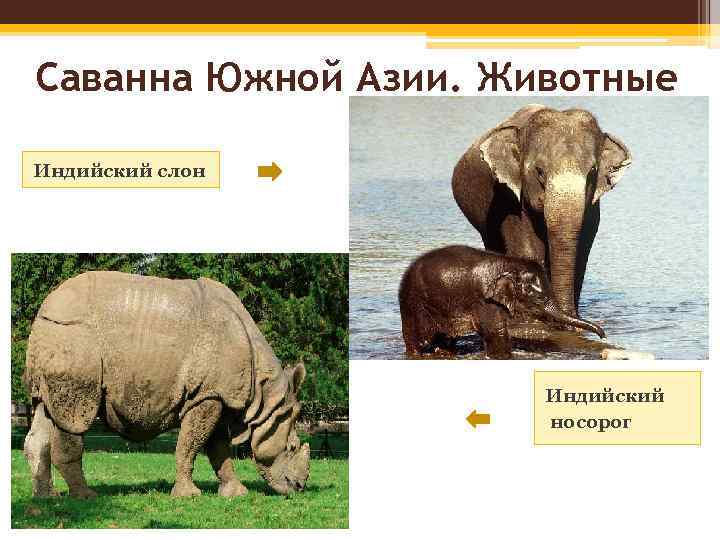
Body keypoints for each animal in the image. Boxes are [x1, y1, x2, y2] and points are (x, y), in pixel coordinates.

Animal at [22, 271, 310, 499]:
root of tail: (44, 309)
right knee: (74, 418)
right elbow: (189, 445)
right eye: (292, 448)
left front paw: (236, 493)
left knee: (45, 411)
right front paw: (188, 495)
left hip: (57, 339)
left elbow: (219, 449)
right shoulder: (208, 395)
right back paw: (85, 497)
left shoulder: (215, 395)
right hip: (74, 337)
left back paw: (46, 497)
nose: (298, 488)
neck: (265, 395)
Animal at [398, 245, 605, 358]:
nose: (603, 335)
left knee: (445, 339)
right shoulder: (485, 300)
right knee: (417, 339)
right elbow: (495, 332)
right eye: (538, 298)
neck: (510, 263)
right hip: (413, 304)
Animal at [452, 104, 631, 318]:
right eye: (539, 171)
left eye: (593, 172)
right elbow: (528, 252)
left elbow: (581, 253)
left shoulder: (592, 210)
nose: (570, 315)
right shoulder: (507, 198)